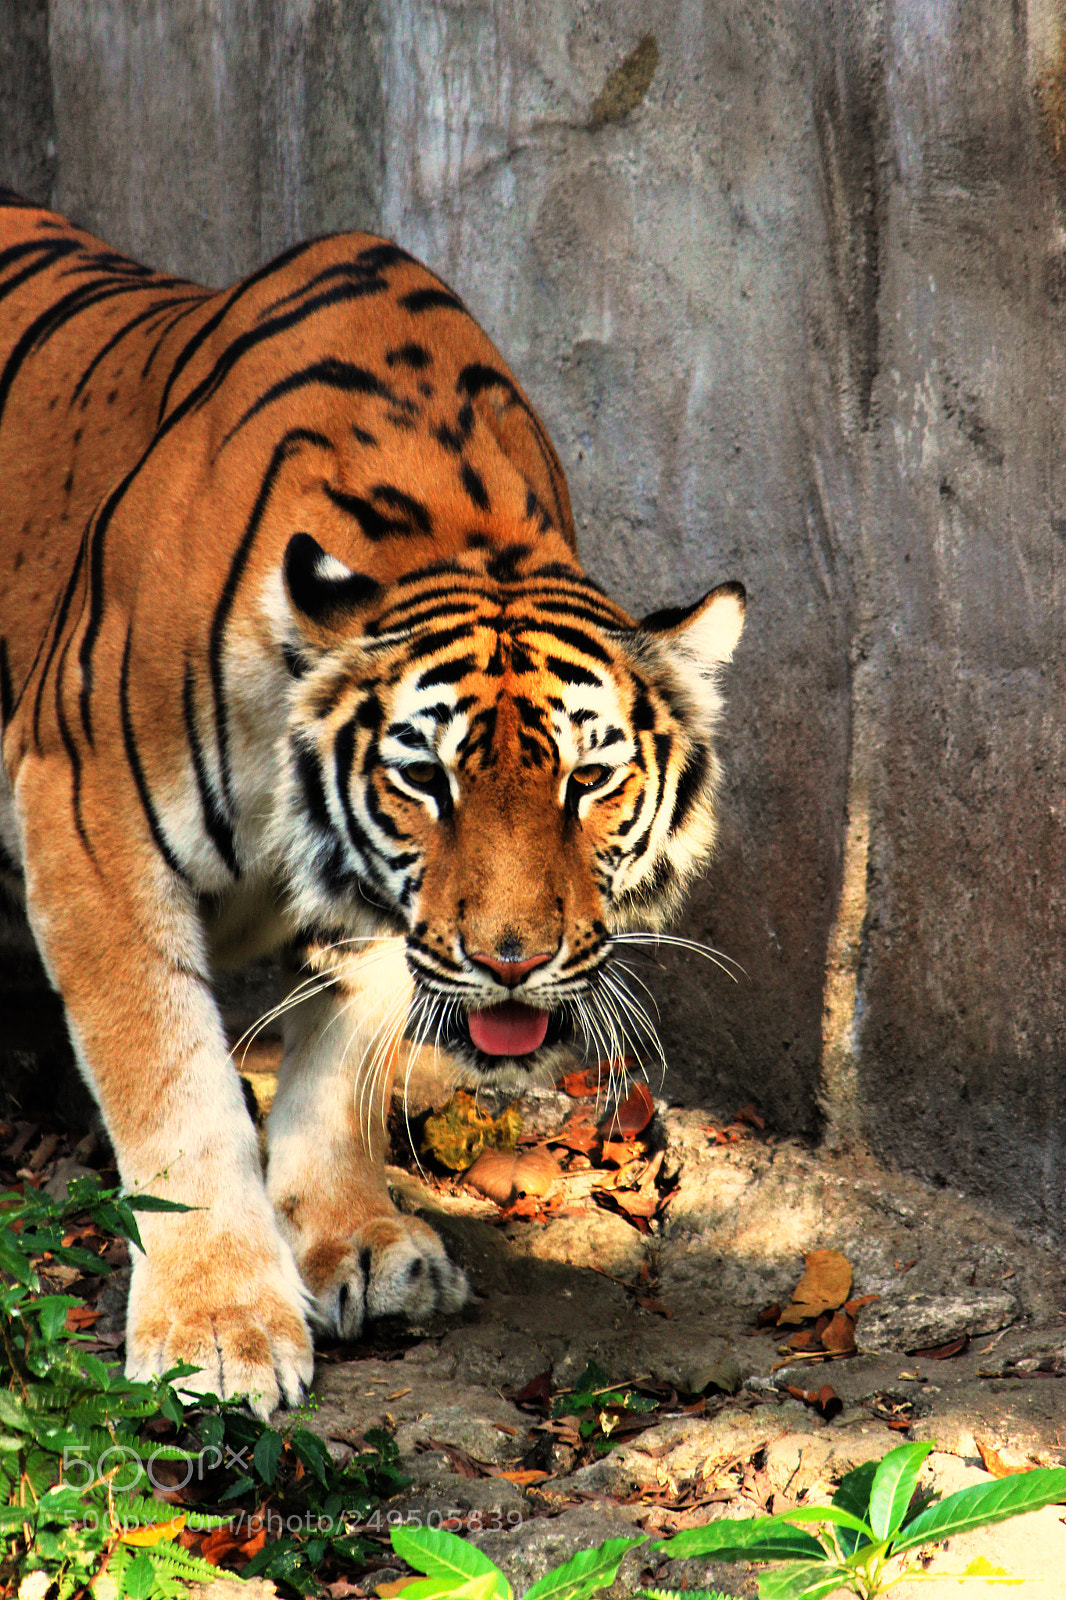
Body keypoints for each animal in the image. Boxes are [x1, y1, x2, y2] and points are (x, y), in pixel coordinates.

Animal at [0, 192, 745, 1416]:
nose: (510, 961)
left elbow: (347, 1047)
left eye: (588, 780)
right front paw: (218, 1332)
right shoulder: (86, 804)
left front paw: (356, 1240)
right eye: (425, 780)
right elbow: (171, 1079)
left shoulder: (386, 910)